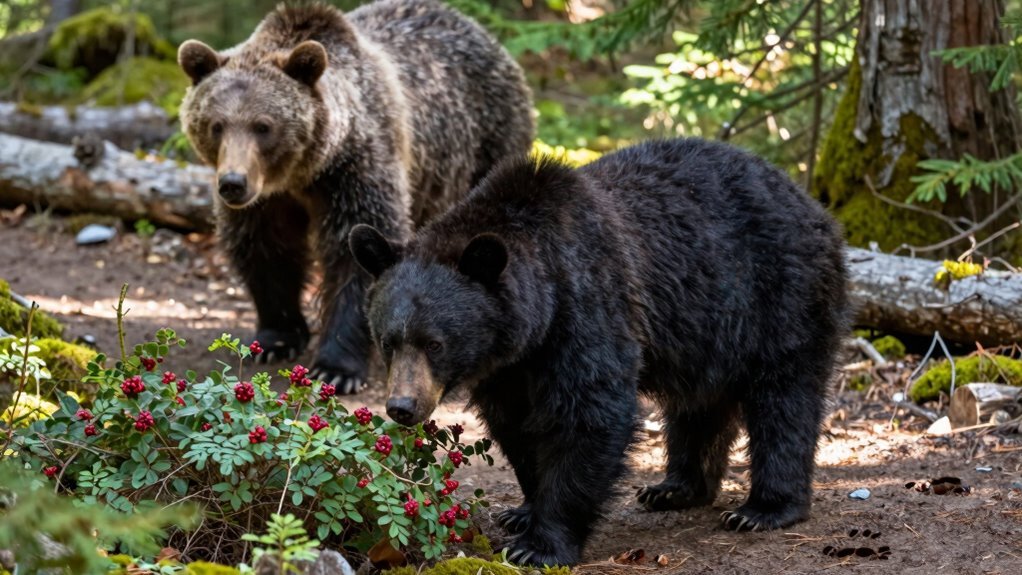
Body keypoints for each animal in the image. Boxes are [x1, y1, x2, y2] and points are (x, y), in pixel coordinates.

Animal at [176, 0, 534, 394]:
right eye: (216, 125)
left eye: (263, 125)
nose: (233, 183)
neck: (304, 172)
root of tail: (481, 31)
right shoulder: (267, 201)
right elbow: (265, 249)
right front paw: (275, 339)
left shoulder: (357, 168)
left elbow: (354, 256)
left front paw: (337, 367)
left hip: (481, 146)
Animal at [348, 138, 850, 566]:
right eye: (389, 340)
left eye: (435, 342)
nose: (402, 406)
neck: (536, 317)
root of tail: (811, 203)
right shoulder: (510, 366)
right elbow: (516, 427)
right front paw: (523, 512)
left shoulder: (586, 306)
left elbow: (588, 413)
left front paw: (541, 545)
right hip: (707, 330)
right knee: (699, 406)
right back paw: (675, 488)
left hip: (781, 296)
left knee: (784, 399)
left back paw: (764, 508)